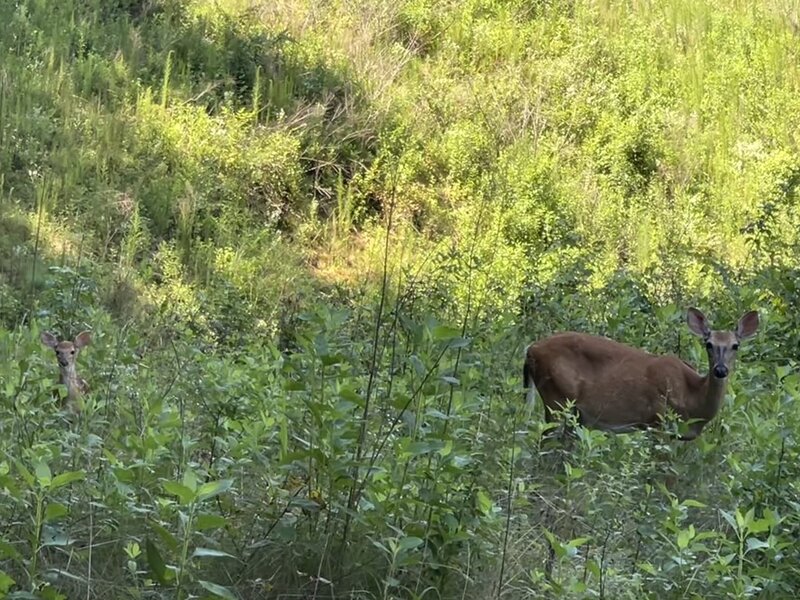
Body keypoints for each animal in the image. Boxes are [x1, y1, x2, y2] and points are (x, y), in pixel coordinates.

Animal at [520, 310, 760, 440]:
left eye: (736, 345)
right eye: (708, 344)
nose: (720, 370)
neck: (693, 396)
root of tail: (530, 349)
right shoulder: (658, 421)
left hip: (572, 413)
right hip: (556, 398)